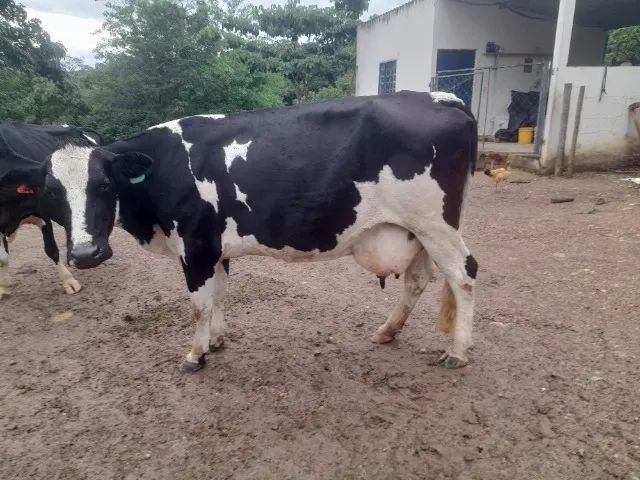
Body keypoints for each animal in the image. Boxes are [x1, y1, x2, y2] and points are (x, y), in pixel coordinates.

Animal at [0, 124, 103, 298]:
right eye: (52, 191)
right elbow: (3, 257)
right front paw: (3, 287)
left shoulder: (42, 214)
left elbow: (51, 249)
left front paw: (69, 281)